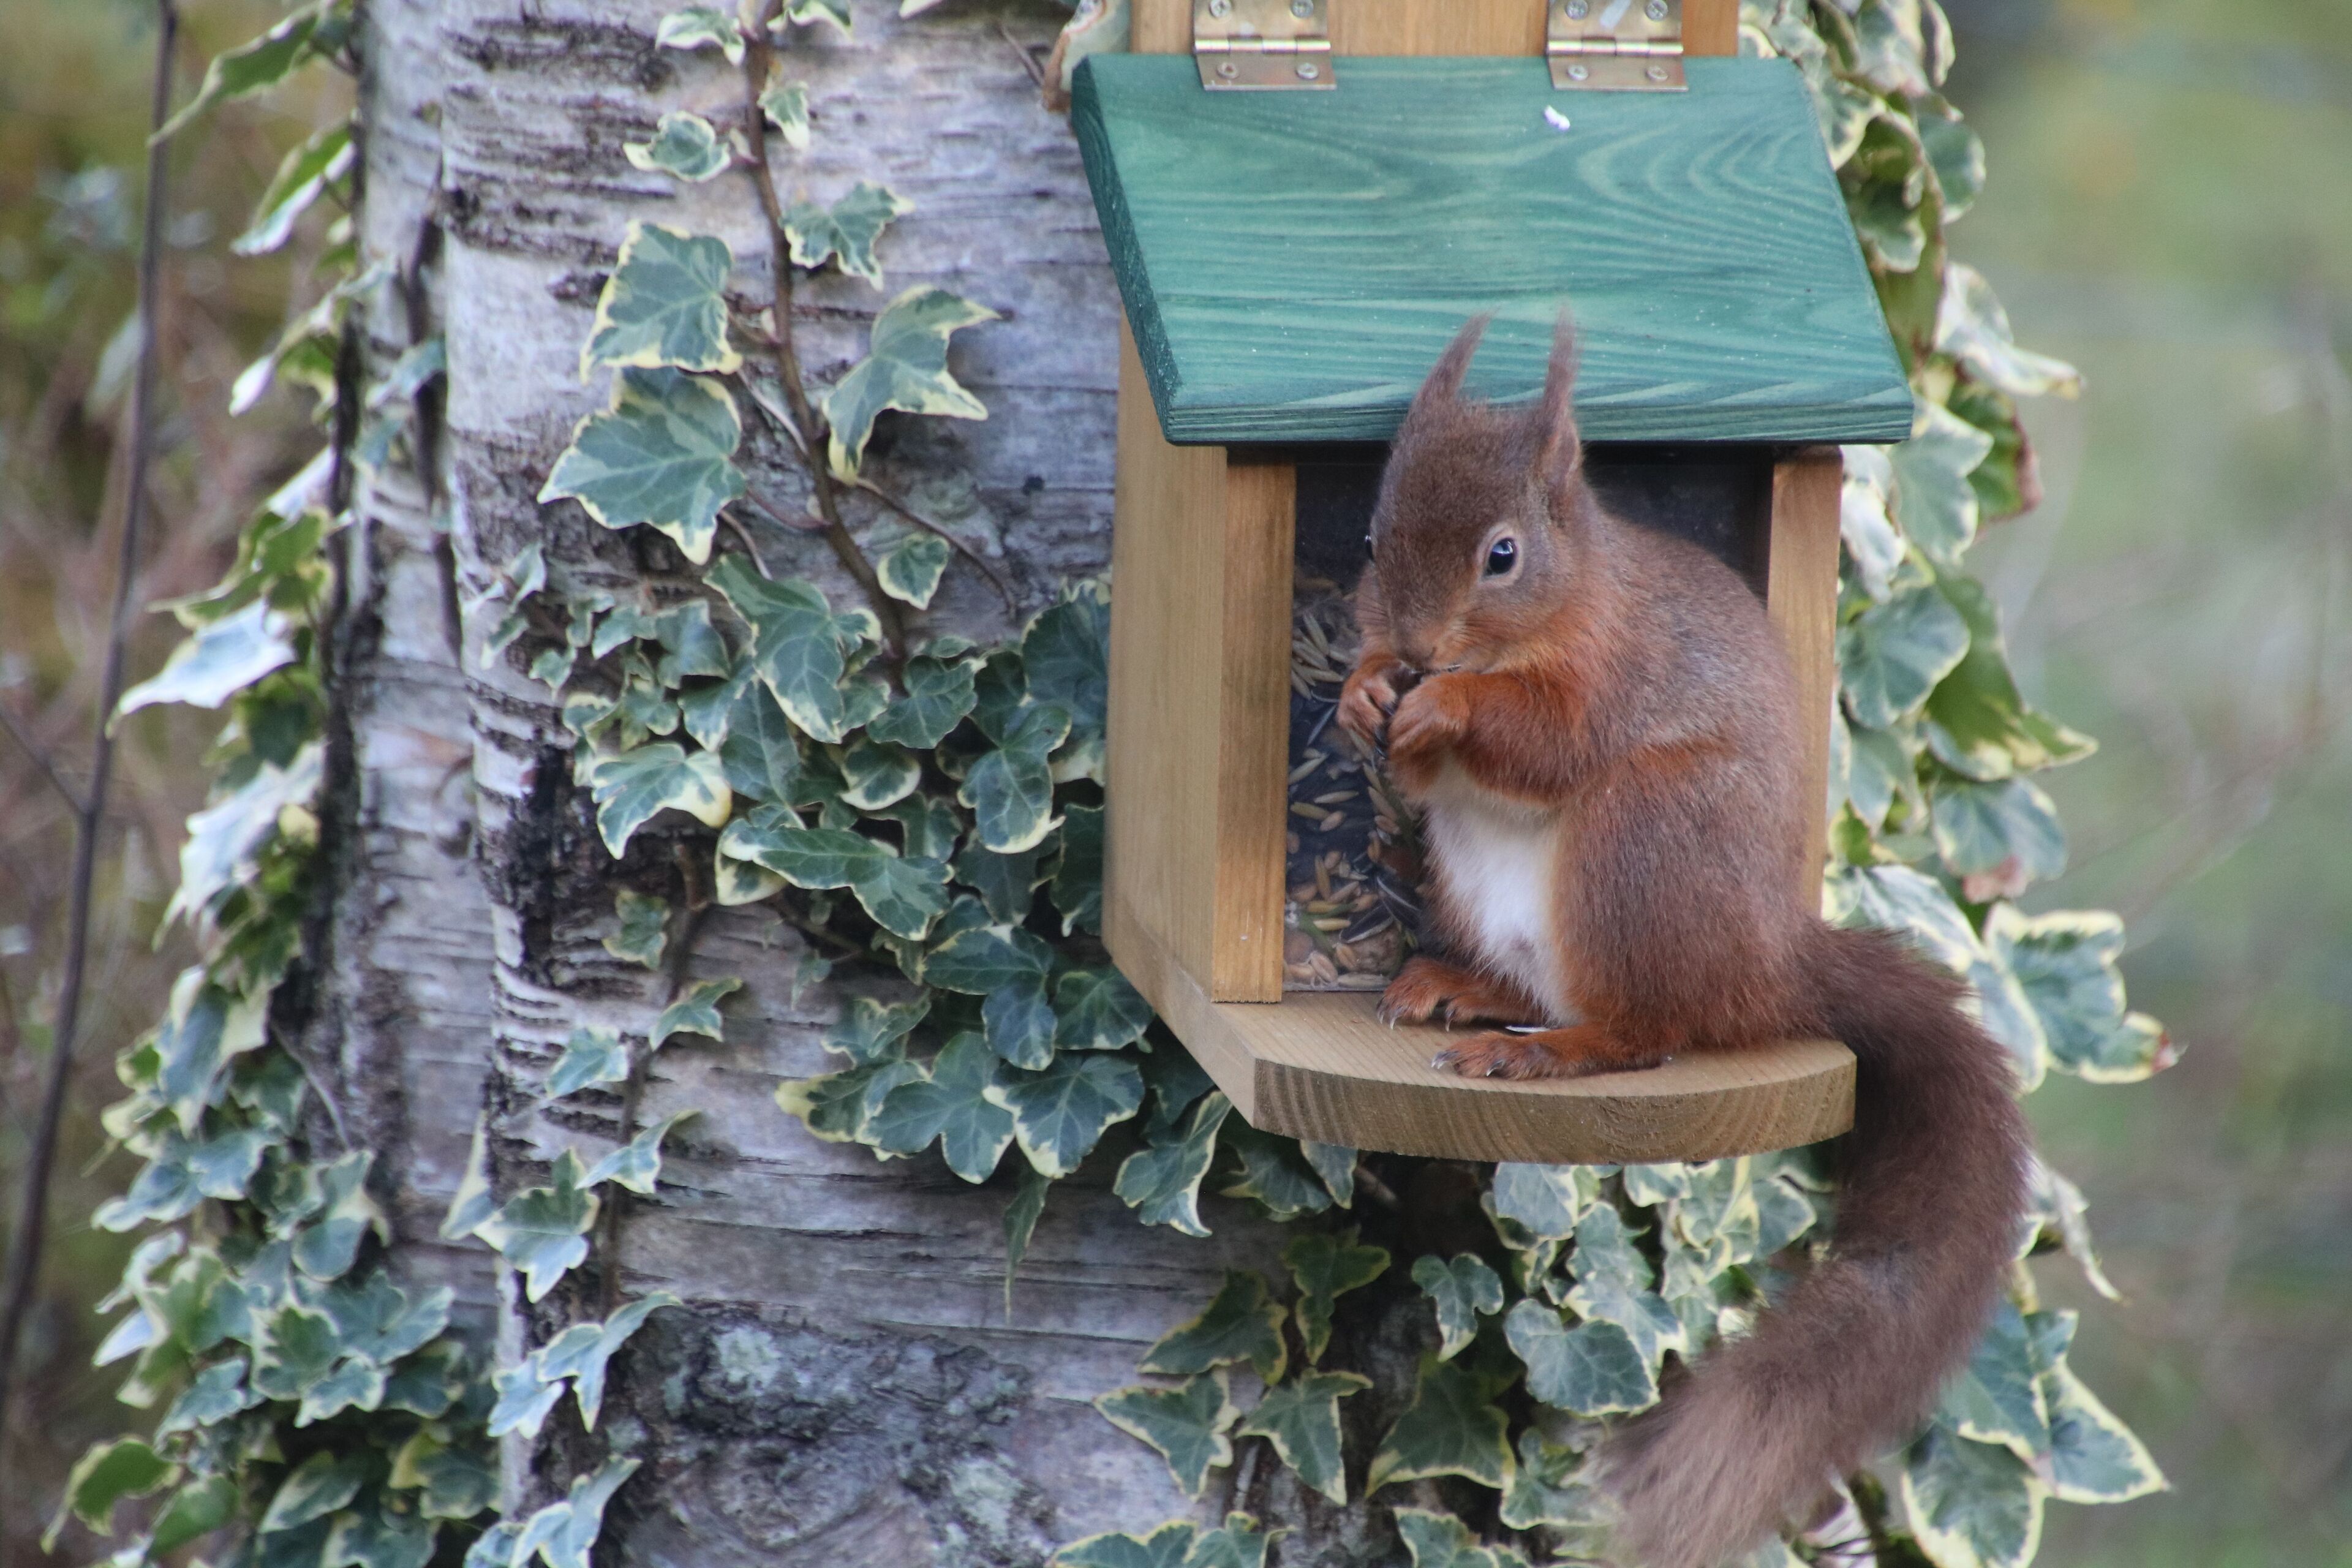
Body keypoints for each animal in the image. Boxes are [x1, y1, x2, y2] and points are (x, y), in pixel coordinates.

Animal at [1338, 317, 2030, 1568]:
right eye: (1369, 536)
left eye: (1503, 555)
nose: (1413, 643)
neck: (1574, 595)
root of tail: (1770, 961)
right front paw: (1366, 692)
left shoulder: (1616, 670)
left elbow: (1547, 739)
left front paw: (1444, 708)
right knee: (1549, 986)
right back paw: (1461, 990)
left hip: (1642, 840)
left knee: (1645, 1030)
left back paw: (1544, 1052)